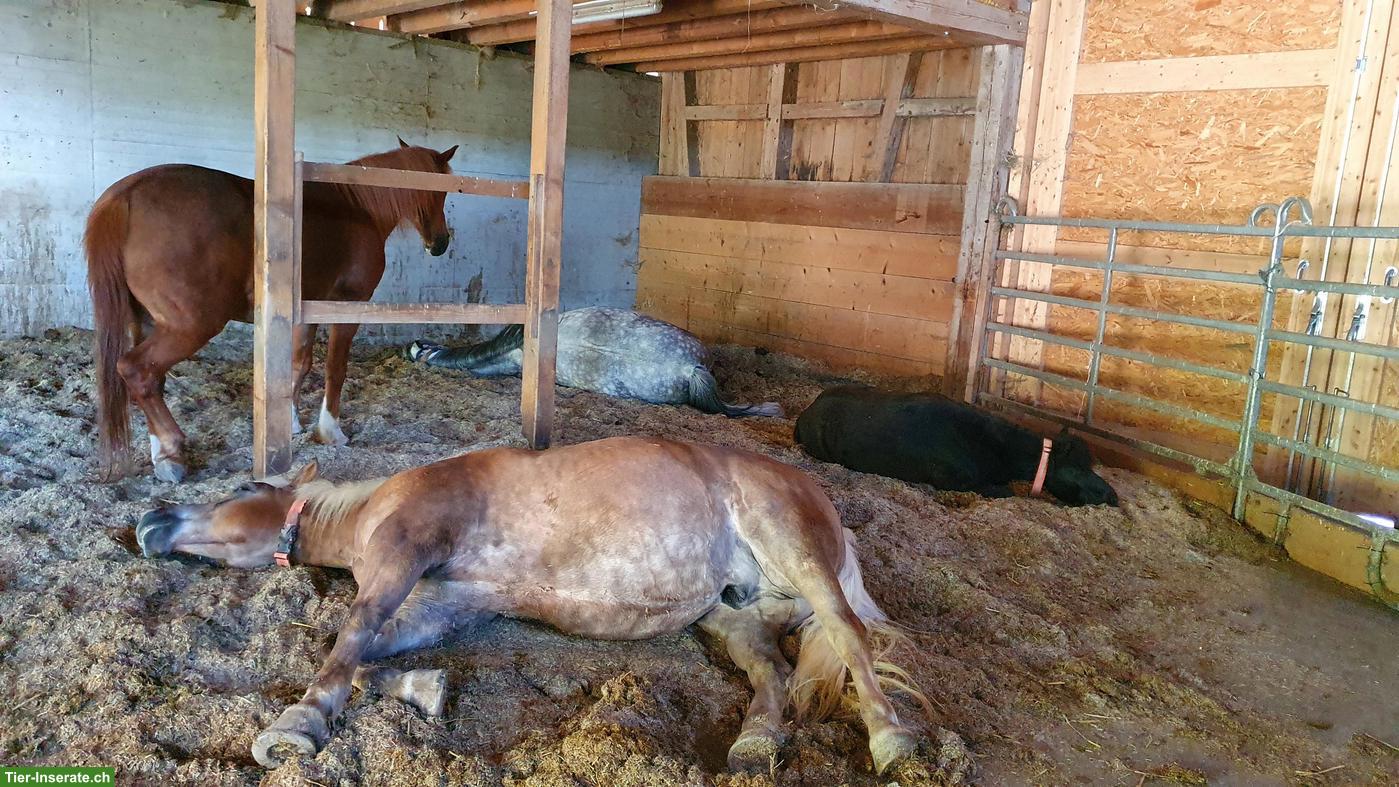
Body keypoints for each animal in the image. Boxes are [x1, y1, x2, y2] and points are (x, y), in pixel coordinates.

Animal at [86, 139, 459, 483]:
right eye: (439, 192)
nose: (440, 243)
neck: (357, 207)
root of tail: (123, 197)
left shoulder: (305, 310)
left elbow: (299, 364)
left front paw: (290, 422)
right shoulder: (347, 306)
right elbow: (335, 368)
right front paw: (330, 431)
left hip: (147, 322)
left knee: (152, 380)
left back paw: (162, 457)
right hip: (191, 326)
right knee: (137, 370)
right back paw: (172, 448)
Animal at [135, 436, 926, 774]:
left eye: (242, 487)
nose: (150, 518)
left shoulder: (402, 553)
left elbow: (349, 635)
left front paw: (296, 724)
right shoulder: (448, 603)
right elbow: (368, 651)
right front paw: (427, 687)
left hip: (796, 550)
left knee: (850, 637)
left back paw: (891, 739)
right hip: (733, 617)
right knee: (775, 676)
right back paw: (755, 742)